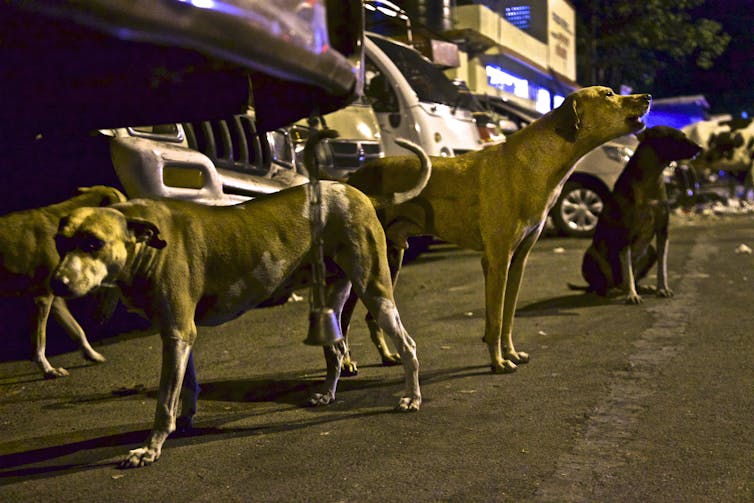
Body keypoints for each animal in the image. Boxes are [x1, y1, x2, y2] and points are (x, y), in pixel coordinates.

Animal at [0, 185, 126, 378]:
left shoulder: (56, 300)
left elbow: (78, 330)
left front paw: (91, 354)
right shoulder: (42, 298)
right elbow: (40, 343)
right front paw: (48, 370)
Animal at [50, 130, 426, 468]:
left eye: (94, 243)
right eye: (59, 242)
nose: (56, 284)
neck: (148, 242)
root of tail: (357, 192)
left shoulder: (177, 334)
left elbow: (163, 403)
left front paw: (150, 449)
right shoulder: (180, 334)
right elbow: (187, 388)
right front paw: (183, 424)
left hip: (375, 290)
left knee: (407, 344)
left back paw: (411, 397)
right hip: (331, 299)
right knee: (336, 348)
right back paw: (328, 394)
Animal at [568, 125, 704, 304]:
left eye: (684, 135)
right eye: (674, 138)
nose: (700, 148)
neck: (651, 178)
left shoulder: (662, 231)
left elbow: (662, 267)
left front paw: (662, 288)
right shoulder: (625, 235)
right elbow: (628, 270)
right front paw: (632, 294)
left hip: (650, 251)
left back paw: (641, 287)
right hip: (591, 256)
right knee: (603, 284)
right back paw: (609, 290)